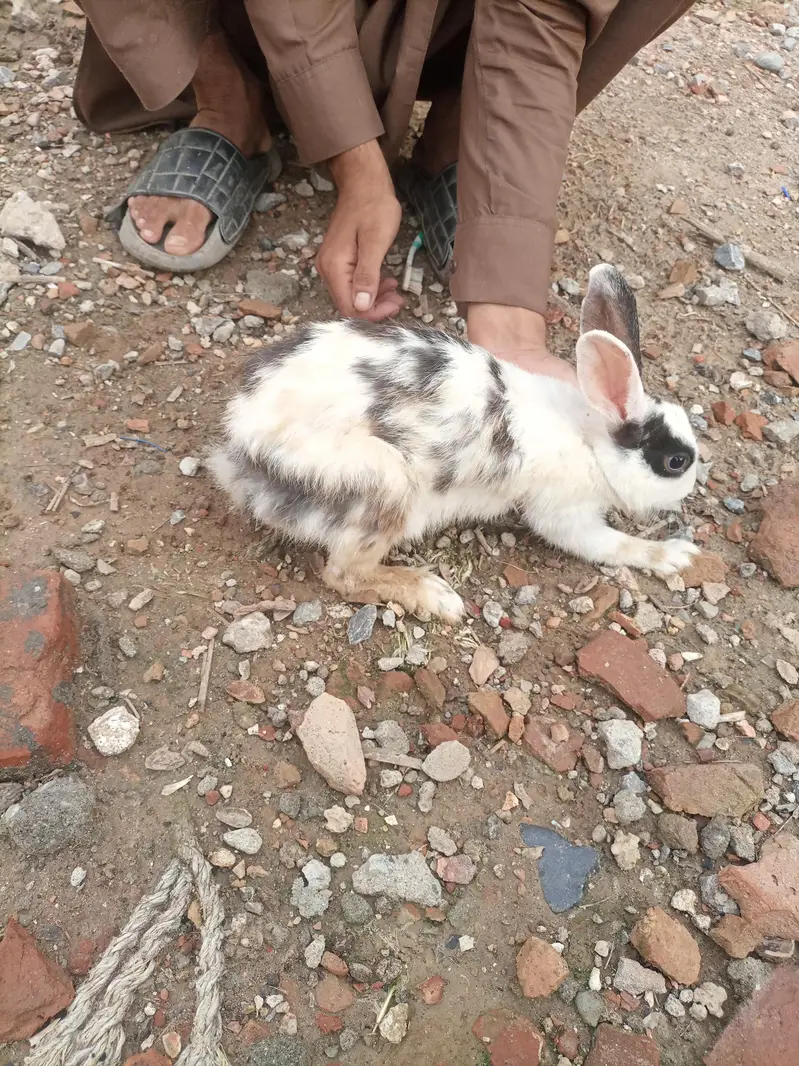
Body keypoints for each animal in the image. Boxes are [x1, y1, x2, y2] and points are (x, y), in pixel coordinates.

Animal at [209, 263, 699, 623]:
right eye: (676, 461)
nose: (691, 486)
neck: (591, 438)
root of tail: (242, 445)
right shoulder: (565, 514)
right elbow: (611, 545)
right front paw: (676, 556)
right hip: (383, 484)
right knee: (343, 574)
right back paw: (434, 596)